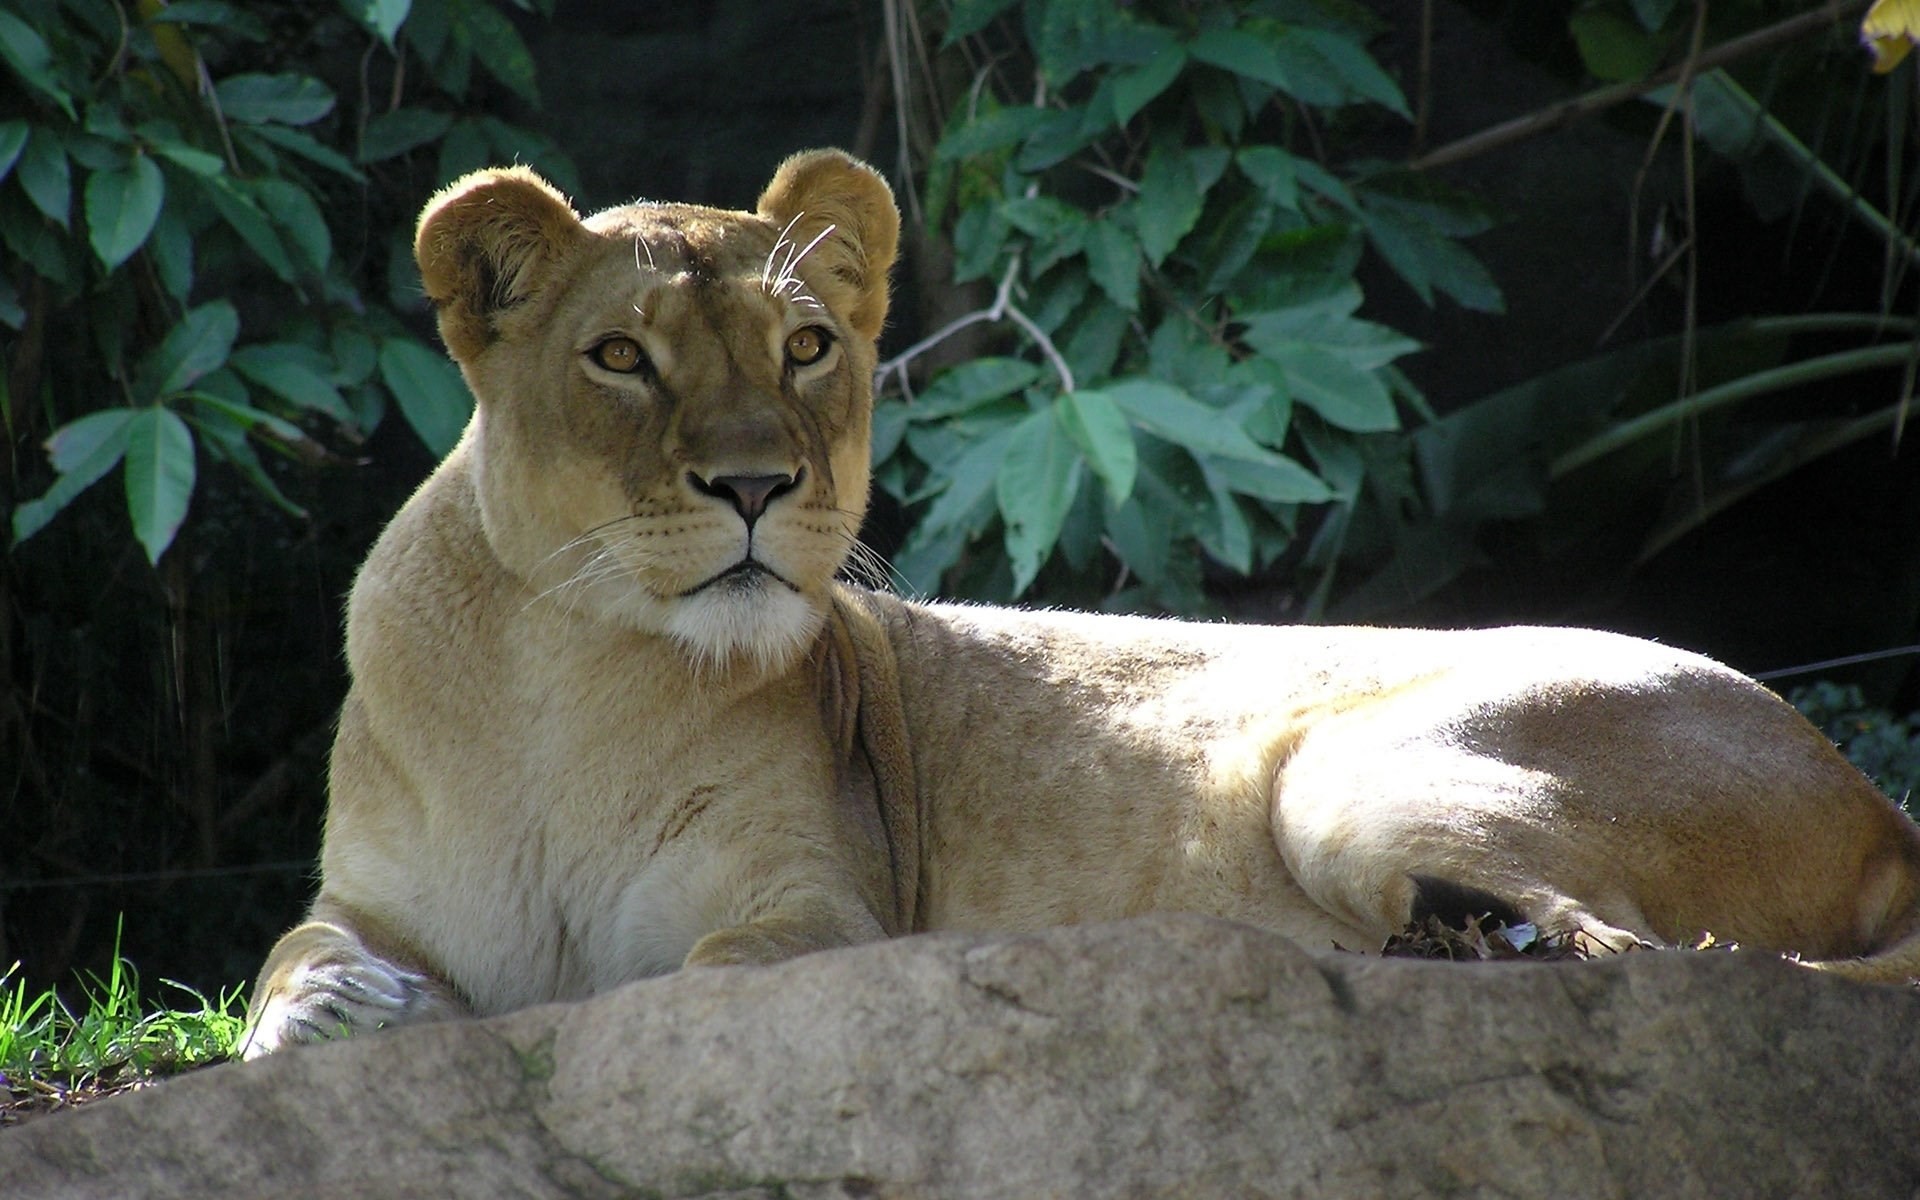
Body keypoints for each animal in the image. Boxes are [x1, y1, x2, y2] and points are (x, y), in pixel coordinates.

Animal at [240, 149, 1920, 1057]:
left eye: (804, 348)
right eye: (619, 358)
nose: (757, 486)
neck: (566, 681)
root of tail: (1868, 792)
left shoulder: (823, 913)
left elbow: (693, 985)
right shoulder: (369, 898)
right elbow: (288, 962)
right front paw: (324, 1023)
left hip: (1347, 778)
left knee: (1654, 960)